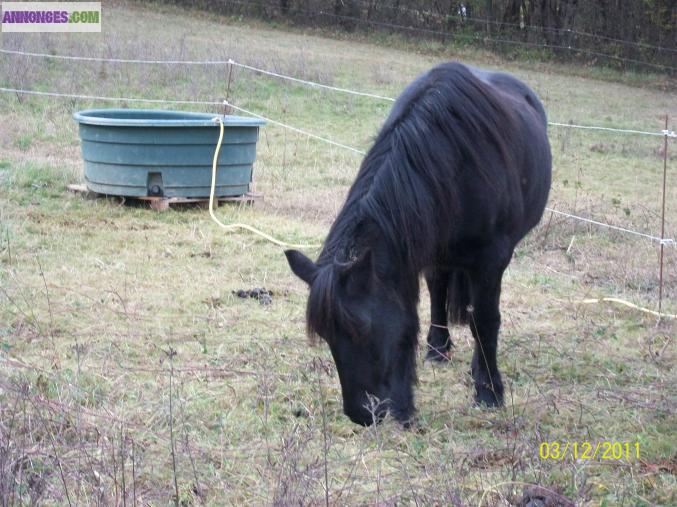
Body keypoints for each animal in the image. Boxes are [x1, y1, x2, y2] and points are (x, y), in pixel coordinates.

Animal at [284, 60, 548, 424]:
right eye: (326, 335)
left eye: (361, 329)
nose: (361, 414)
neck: (453, 162)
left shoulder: (492, 260)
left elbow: (485, 321)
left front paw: (489, 391)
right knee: (438, 288)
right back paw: (438, 348)